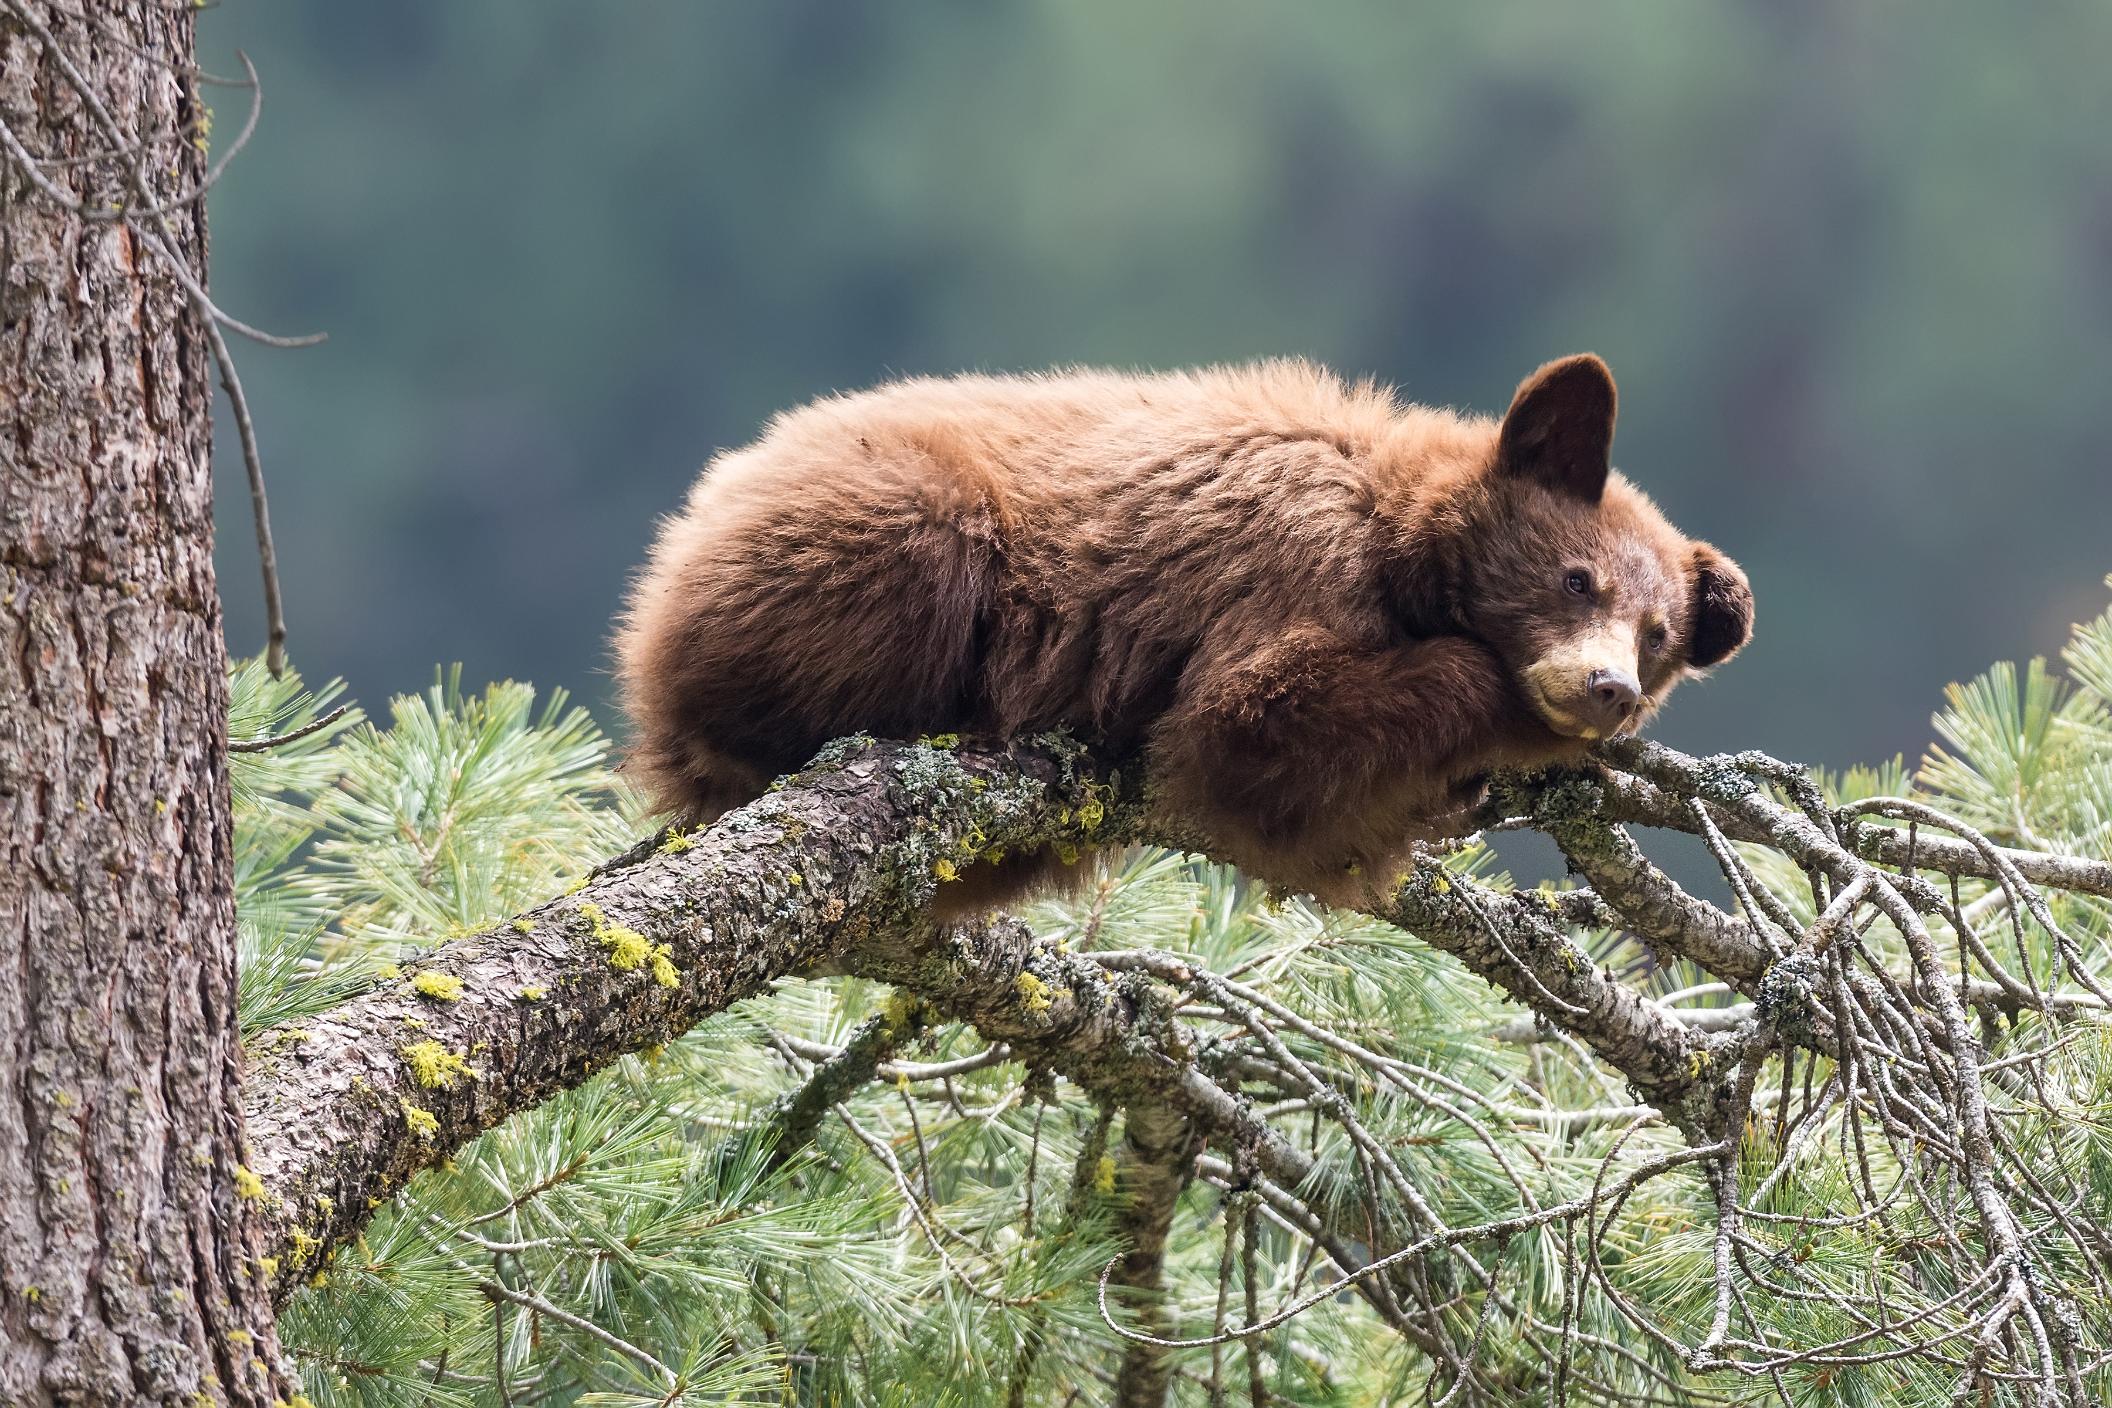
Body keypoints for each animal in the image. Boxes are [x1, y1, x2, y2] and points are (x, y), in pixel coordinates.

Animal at [612, 352, 1748, 903]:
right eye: (1575, 577)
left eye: (1657, 638)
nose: (1606, 689)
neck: (1391, 527)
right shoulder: (1294, 550)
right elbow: (1248, 721)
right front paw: (1493, 710)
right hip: (864, 532)